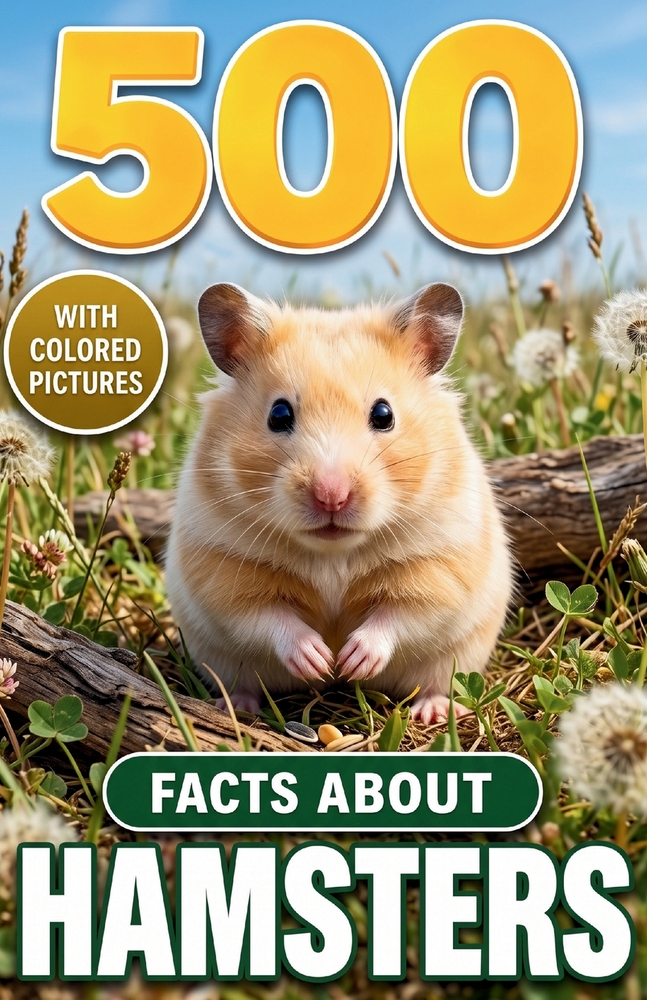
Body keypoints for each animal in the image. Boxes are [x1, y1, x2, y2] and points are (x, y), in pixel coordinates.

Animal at [165, 282, 512, 725]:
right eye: (279, 414)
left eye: (384, 414)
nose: (331, 495)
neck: (333, 552)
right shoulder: (222, 571)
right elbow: (265, 616)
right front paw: (319, 660)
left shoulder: (441, 566)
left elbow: (401, 615)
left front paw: (350, 661)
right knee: (242, 680)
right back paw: (238, 706)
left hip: (458, 655)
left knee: (437, 682)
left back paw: (430, 712)